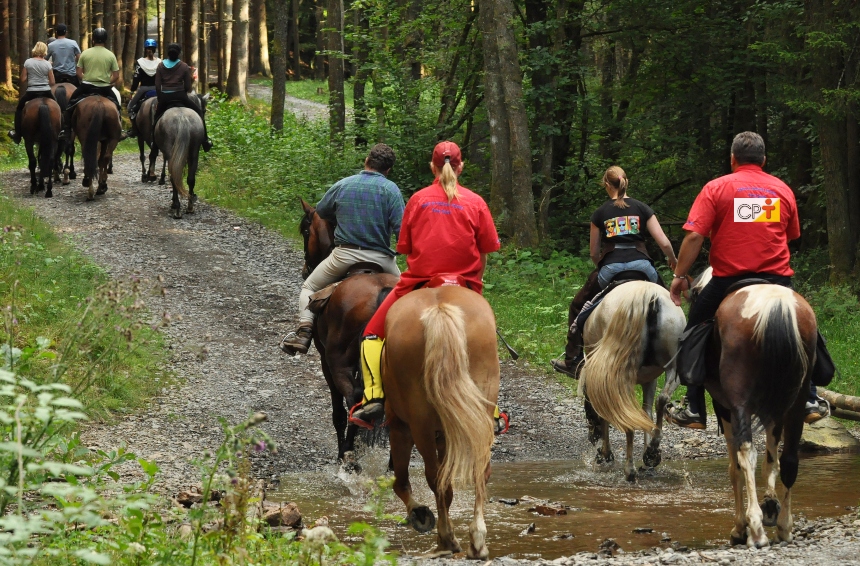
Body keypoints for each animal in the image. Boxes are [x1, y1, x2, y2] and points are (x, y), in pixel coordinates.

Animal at [298, 200, 398, 470]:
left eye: (305, 231)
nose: (306, 269)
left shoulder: (326, 361)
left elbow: (338, 412)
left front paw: (344, 451)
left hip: (338, 361)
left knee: (355, 399)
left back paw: (348, 454)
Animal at [382, 286, 498, 560]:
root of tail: (439, 309)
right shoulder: (446, 434)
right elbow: (449, 489)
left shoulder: (399, 427)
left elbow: (401, 482)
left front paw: (419, 514)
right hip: (480, 414)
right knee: (479, 471)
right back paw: (477, 541)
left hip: (419, 424)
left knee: (434, 477)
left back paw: (446, 540)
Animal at [576, 280, 684, 484]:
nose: (591, 437)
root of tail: (649, 297)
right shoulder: (650, 380)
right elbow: (646, 414)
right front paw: (649, 455)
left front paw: (605, 455)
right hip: (673, 365)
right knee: (662, 399)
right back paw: (652, 452)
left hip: (622, 376)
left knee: (627, 416)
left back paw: (629, 470)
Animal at [688, 270, 816, 552]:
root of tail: (775, 303)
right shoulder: (774, 412)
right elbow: (772, 461)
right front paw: (770, 504)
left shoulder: (724, 407)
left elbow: (735, 468)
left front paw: (740, 527)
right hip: (797, 399)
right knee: (789, 459)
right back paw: (784, 527)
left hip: (739, 402)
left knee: (746, 455)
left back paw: (756, 531)